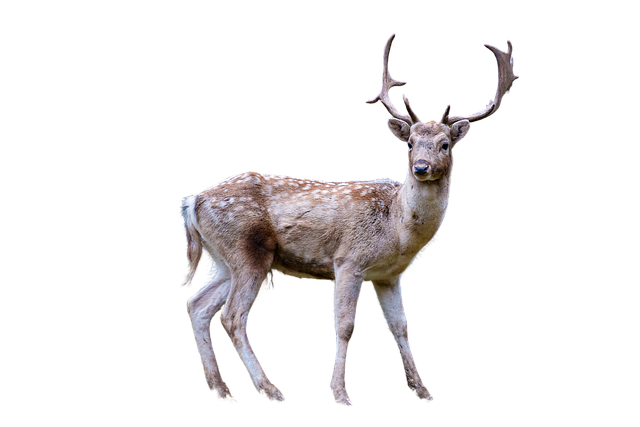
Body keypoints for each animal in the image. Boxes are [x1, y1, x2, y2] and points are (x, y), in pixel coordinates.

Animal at [178, 32, 518, 406]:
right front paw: (340, 392)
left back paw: (223, 390)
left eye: (445, 144)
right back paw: (270, 389)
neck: (396, 229)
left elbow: (401, 327)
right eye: (411, 143)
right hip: (247, 250)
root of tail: (193, 201)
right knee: (232, 315)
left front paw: (423, 390)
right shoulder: (348, 260)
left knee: (197, 304)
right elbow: (345, 325)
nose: (420, 167)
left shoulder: (389, 275)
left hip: (222, 259)